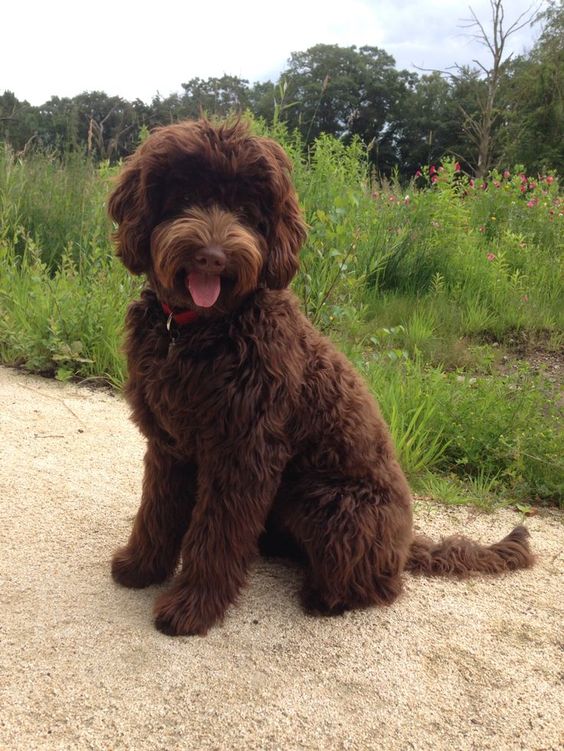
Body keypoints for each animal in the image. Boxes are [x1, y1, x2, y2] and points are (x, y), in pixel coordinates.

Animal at [109, 120, 532, 636]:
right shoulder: (170, 442)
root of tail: (404, 543)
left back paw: (324, 596)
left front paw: (193, 606)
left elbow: (215, 534)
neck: (198, 329)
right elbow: (157, 509)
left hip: (331, 502)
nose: (212, 257)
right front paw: (141, 567)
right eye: (184, 196)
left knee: (382, 585)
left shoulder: (244, 452)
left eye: (246, 209)